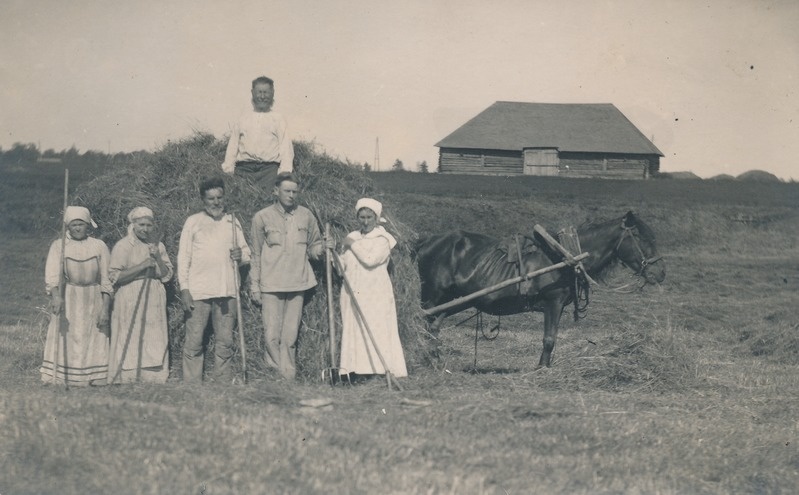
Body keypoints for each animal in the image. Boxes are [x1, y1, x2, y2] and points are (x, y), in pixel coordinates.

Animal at [416, 210, 664, 368]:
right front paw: (542, 368)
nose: (660, 273)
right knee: (423, 325)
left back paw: (435, 360)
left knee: (433, 328)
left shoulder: (559, 305)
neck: (566, 255)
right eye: (640, 237)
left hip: (452, 299)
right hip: (432, 297)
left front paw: (545, 366)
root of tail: (425, 242)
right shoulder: (553, 301)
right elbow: (549, 339)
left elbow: (552, 336)